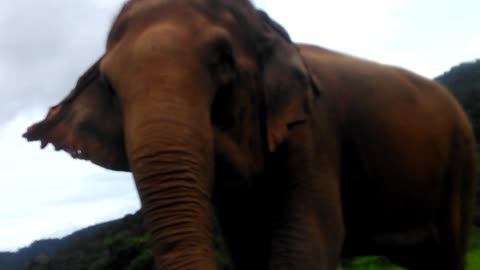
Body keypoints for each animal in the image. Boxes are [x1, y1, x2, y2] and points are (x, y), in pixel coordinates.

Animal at [22, 0, 476, 268]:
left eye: (223, 60)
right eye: (109, 85)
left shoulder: (313, 137)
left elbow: (303, 248)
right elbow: (249, 252)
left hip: (461, 161)